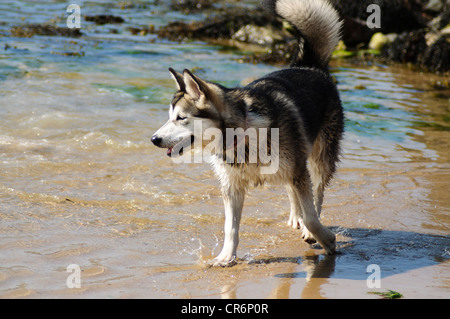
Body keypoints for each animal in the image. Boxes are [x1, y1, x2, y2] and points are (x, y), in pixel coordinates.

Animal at [152, 0, 344, 266]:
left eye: (180, 118)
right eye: (170, 117)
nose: (154, 139)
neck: (240, 135)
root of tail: (309, 66)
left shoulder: (296, 168)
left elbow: (312, 216)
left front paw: (325, 239)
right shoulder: (231, 186)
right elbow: (230, 227)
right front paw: (226, 257)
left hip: (318, 158)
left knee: (317, 193)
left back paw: (307, 225)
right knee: (292, 191)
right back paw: (295, 216)